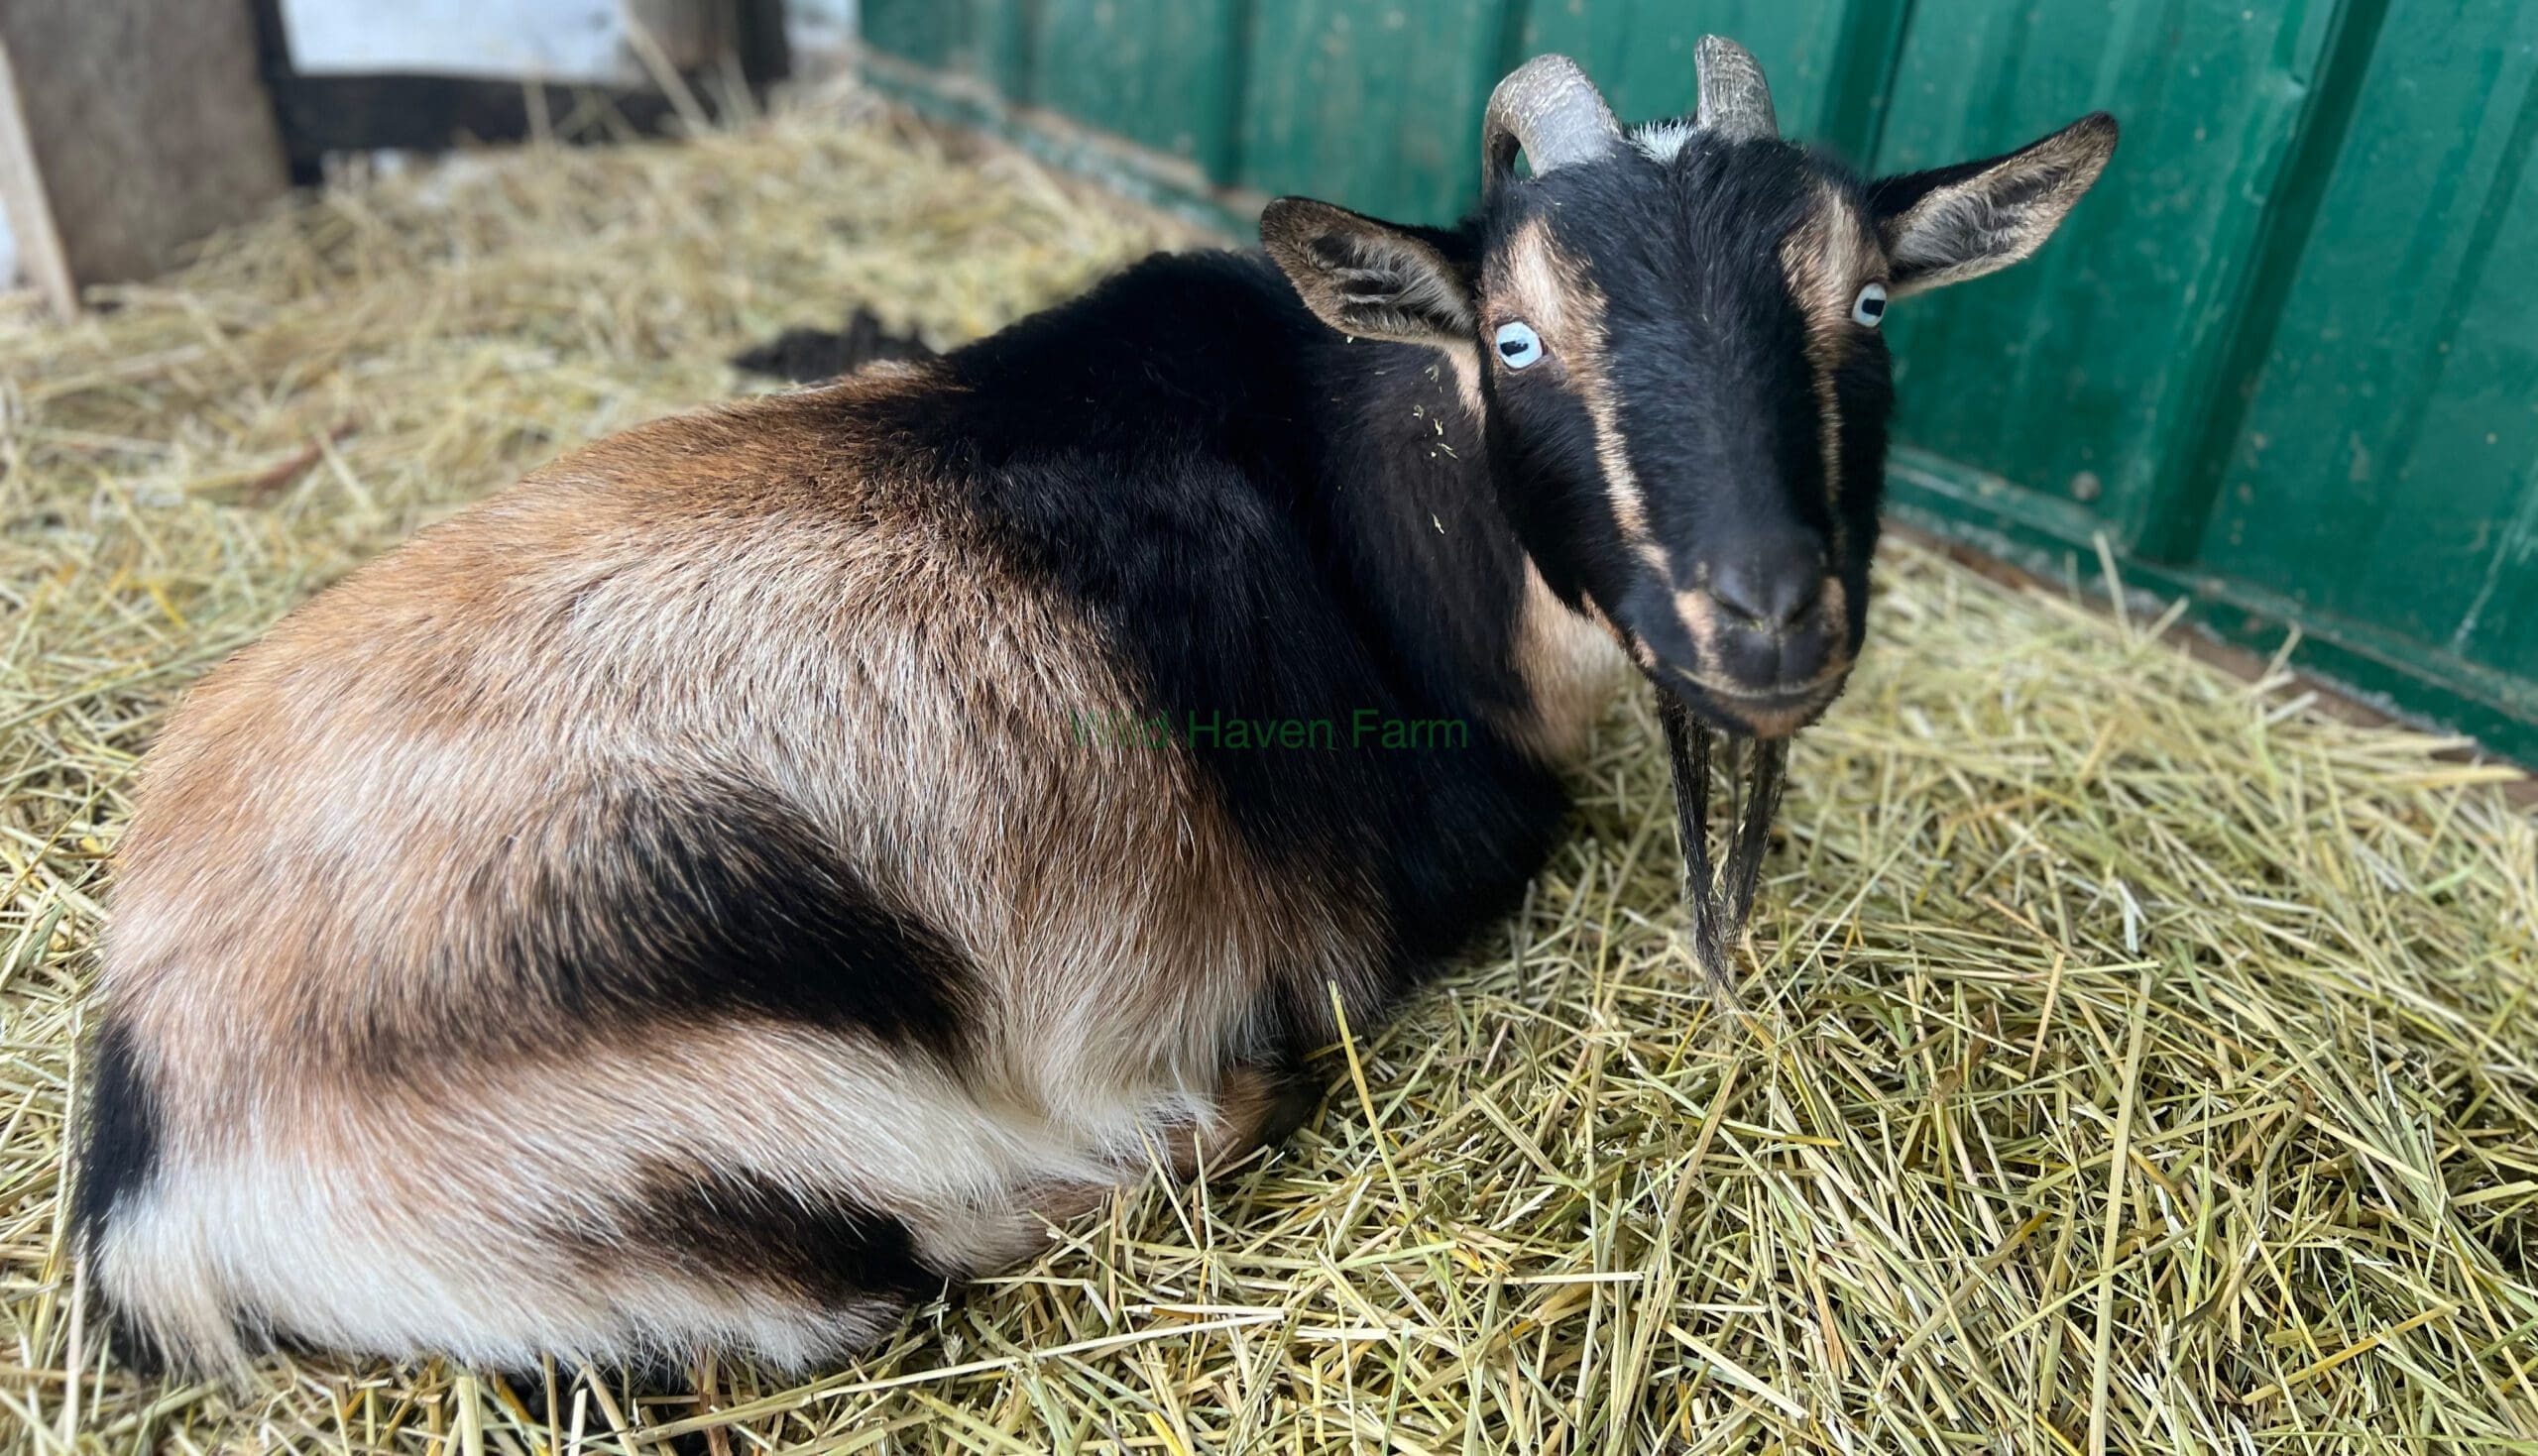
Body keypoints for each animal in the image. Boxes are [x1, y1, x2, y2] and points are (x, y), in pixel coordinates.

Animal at [73, 40, 2122, 1380]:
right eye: (1518, 336)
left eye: (1868, 303)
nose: (1764, 617)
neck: (1362, 494)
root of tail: (156, 1137)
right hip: (712, 1144)